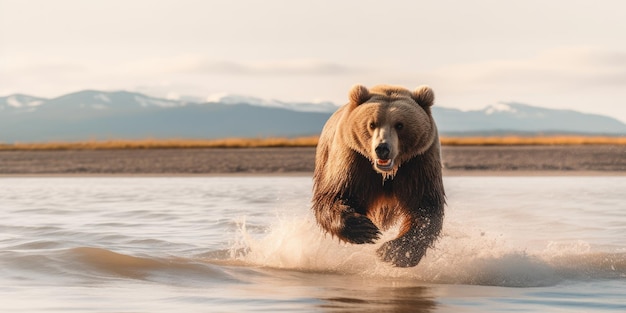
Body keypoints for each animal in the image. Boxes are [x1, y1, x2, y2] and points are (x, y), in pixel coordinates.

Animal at [310, 84, 444, 266]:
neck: (386, 173)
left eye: (399, 125)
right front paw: (366, 229)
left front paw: (393, 251)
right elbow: (335, 195)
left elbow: (425, 207)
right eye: (372, 124)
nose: (382, 148)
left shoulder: (418, 161)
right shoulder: (353, 159)